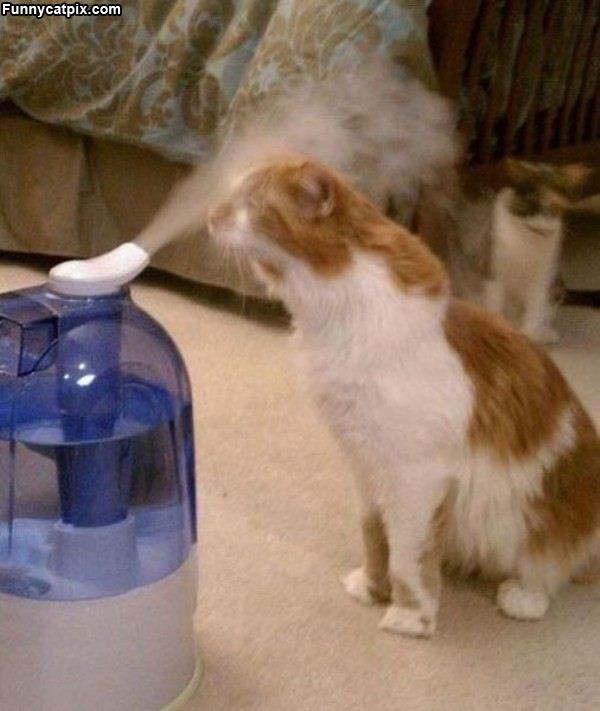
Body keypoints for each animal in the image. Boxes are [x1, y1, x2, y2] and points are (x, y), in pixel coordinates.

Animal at [442, 160, 591, 344]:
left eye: (557, 207)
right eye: (535, 205)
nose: (545, 225)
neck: (527, 242)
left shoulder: (541, 278)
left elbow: (534, 314)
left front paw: (531, 338)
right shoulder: (493, 274)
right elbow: (496, 308)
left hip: (556, 285)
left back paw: (544, 333)